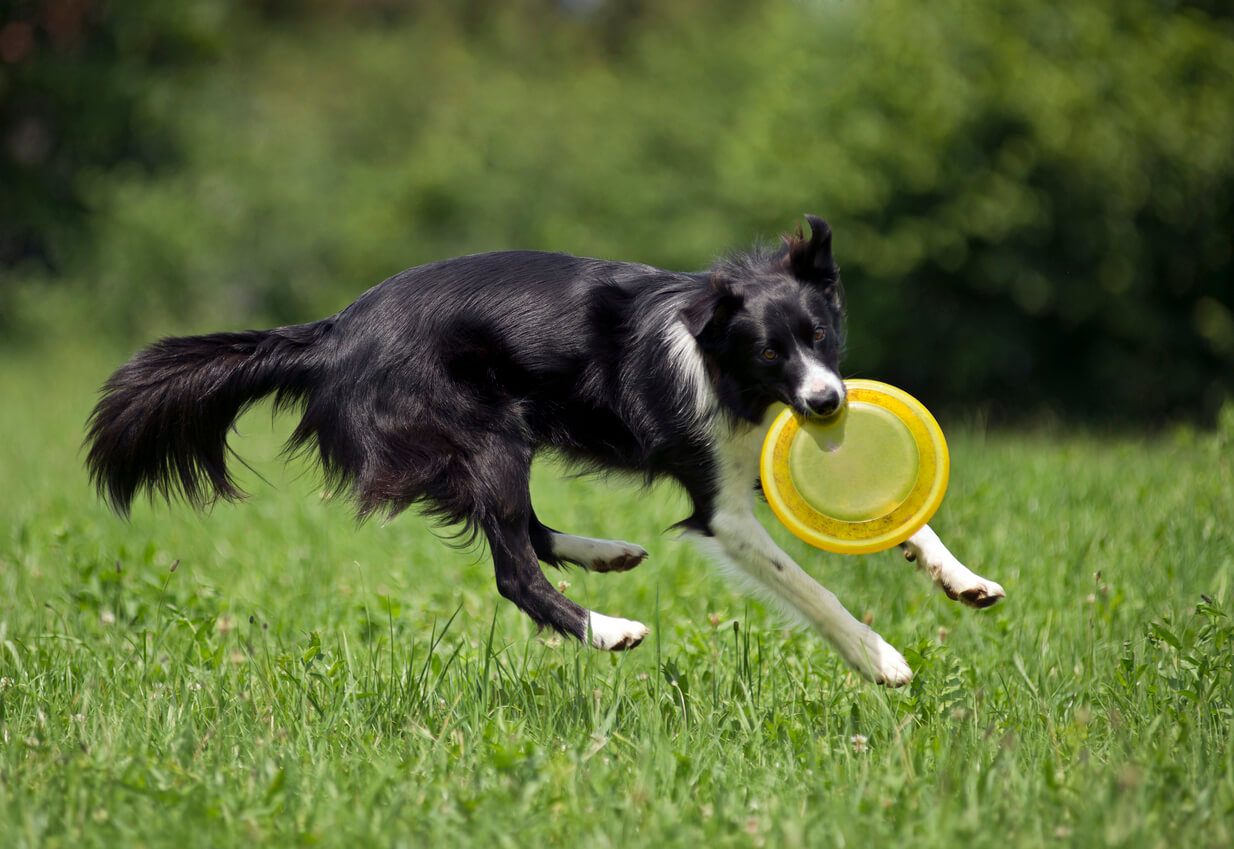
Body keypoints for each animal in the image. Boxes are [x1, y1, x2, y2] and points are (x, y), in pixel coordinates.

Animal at [91, 215, 1006, 686]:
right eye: (769, 352)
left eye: (820, 335)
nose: (826, 404)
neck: (724, 362)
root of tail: (333, 332)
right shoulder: (722, 507)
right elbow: (808, 584)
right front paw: (880, 656)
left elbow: (902, 518)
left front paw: (963, 579)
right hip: (484, 432)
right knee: (513, 568)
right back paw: (607, 629)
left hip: (498, 436)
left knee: (524, 529)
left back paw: (607, 555)